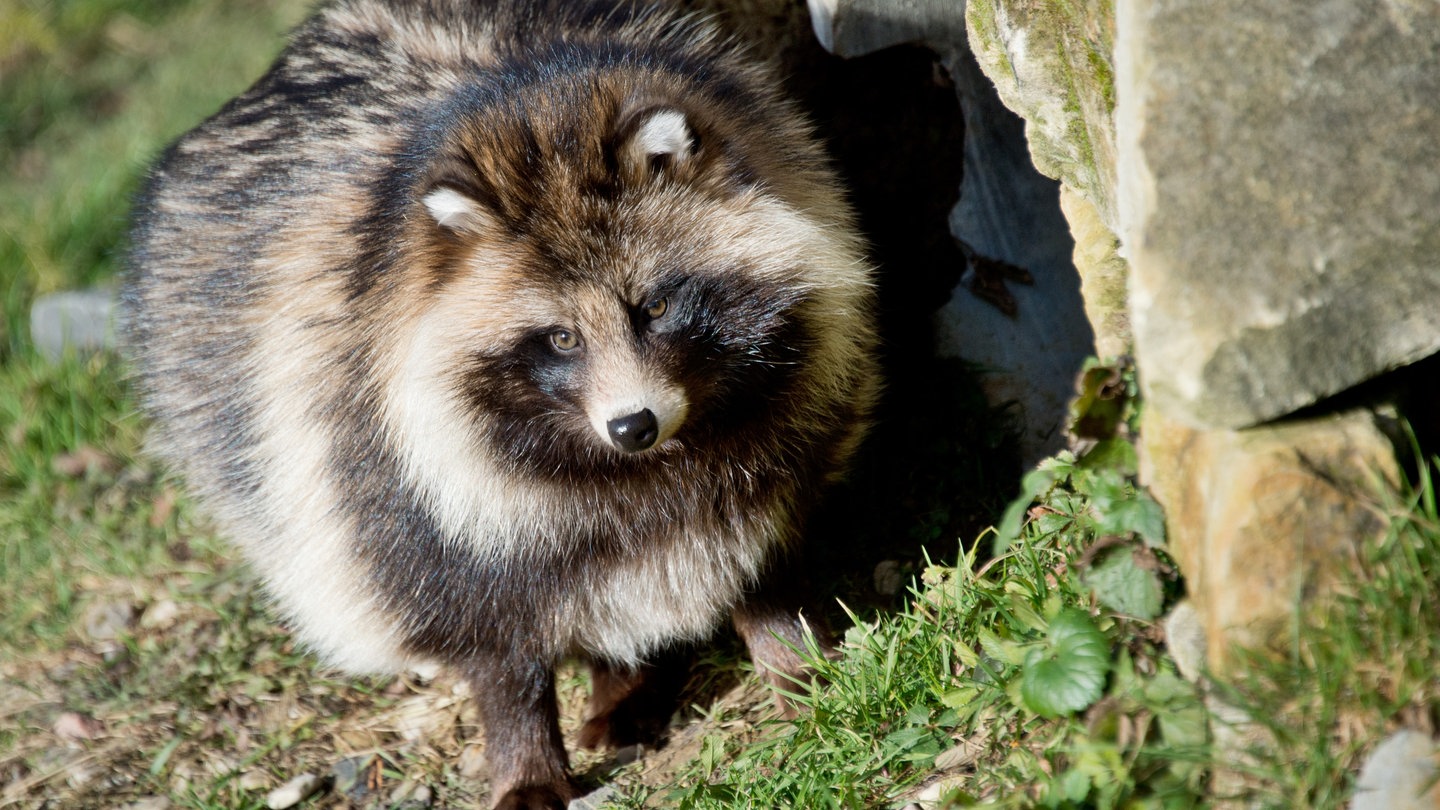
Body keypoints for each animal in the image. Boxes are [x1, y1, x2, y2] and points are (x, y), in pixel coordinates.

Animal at [123, 0, 881, 801]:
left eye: (655, 306)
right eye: (560, 338)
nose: (632, 425)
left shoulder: (796, 395)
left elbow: (760, 540)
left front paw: (793, 654)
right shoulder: (376, 452)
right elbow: (488, 628)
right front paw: (526, 752)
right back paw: (619, 679)